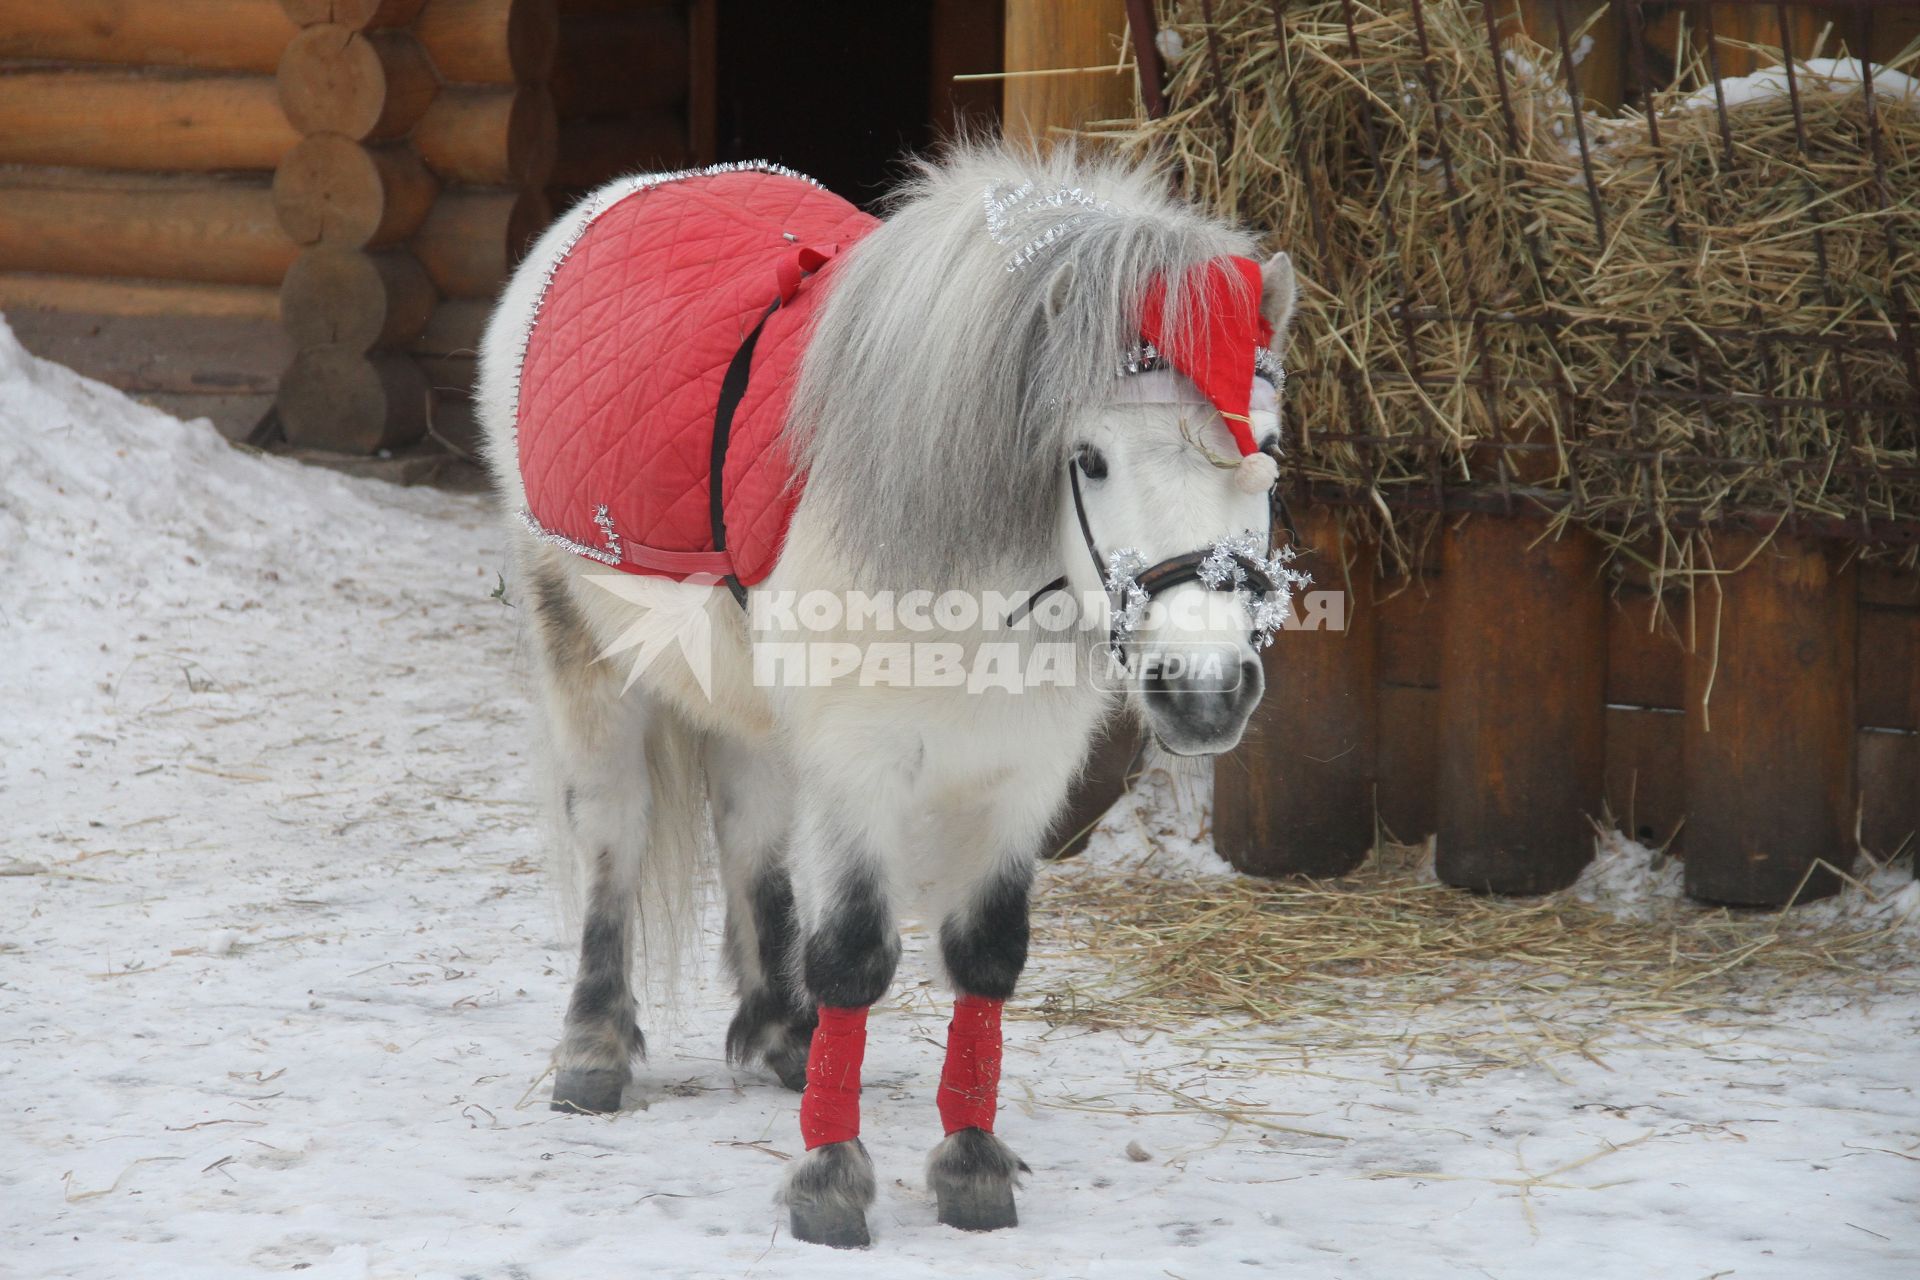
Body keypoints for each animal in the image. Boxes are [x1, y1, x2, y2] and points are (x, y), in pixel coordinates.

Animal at [476, 142, 1305, 1251]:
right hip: (586, 654)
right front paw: (831, 1179)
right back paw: (596, 1050)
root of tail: (629, 193)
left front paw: (971, 1164)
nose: (1206, 689)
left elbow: (986, 955)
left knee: (750, 830)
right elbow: (856, 956)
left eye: (1268, 451)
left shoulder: (1017, 778)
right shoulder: (862, 768)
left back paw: (781, 1035)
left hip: (751, 705)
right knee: (613, 831)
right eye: (1090, 458)